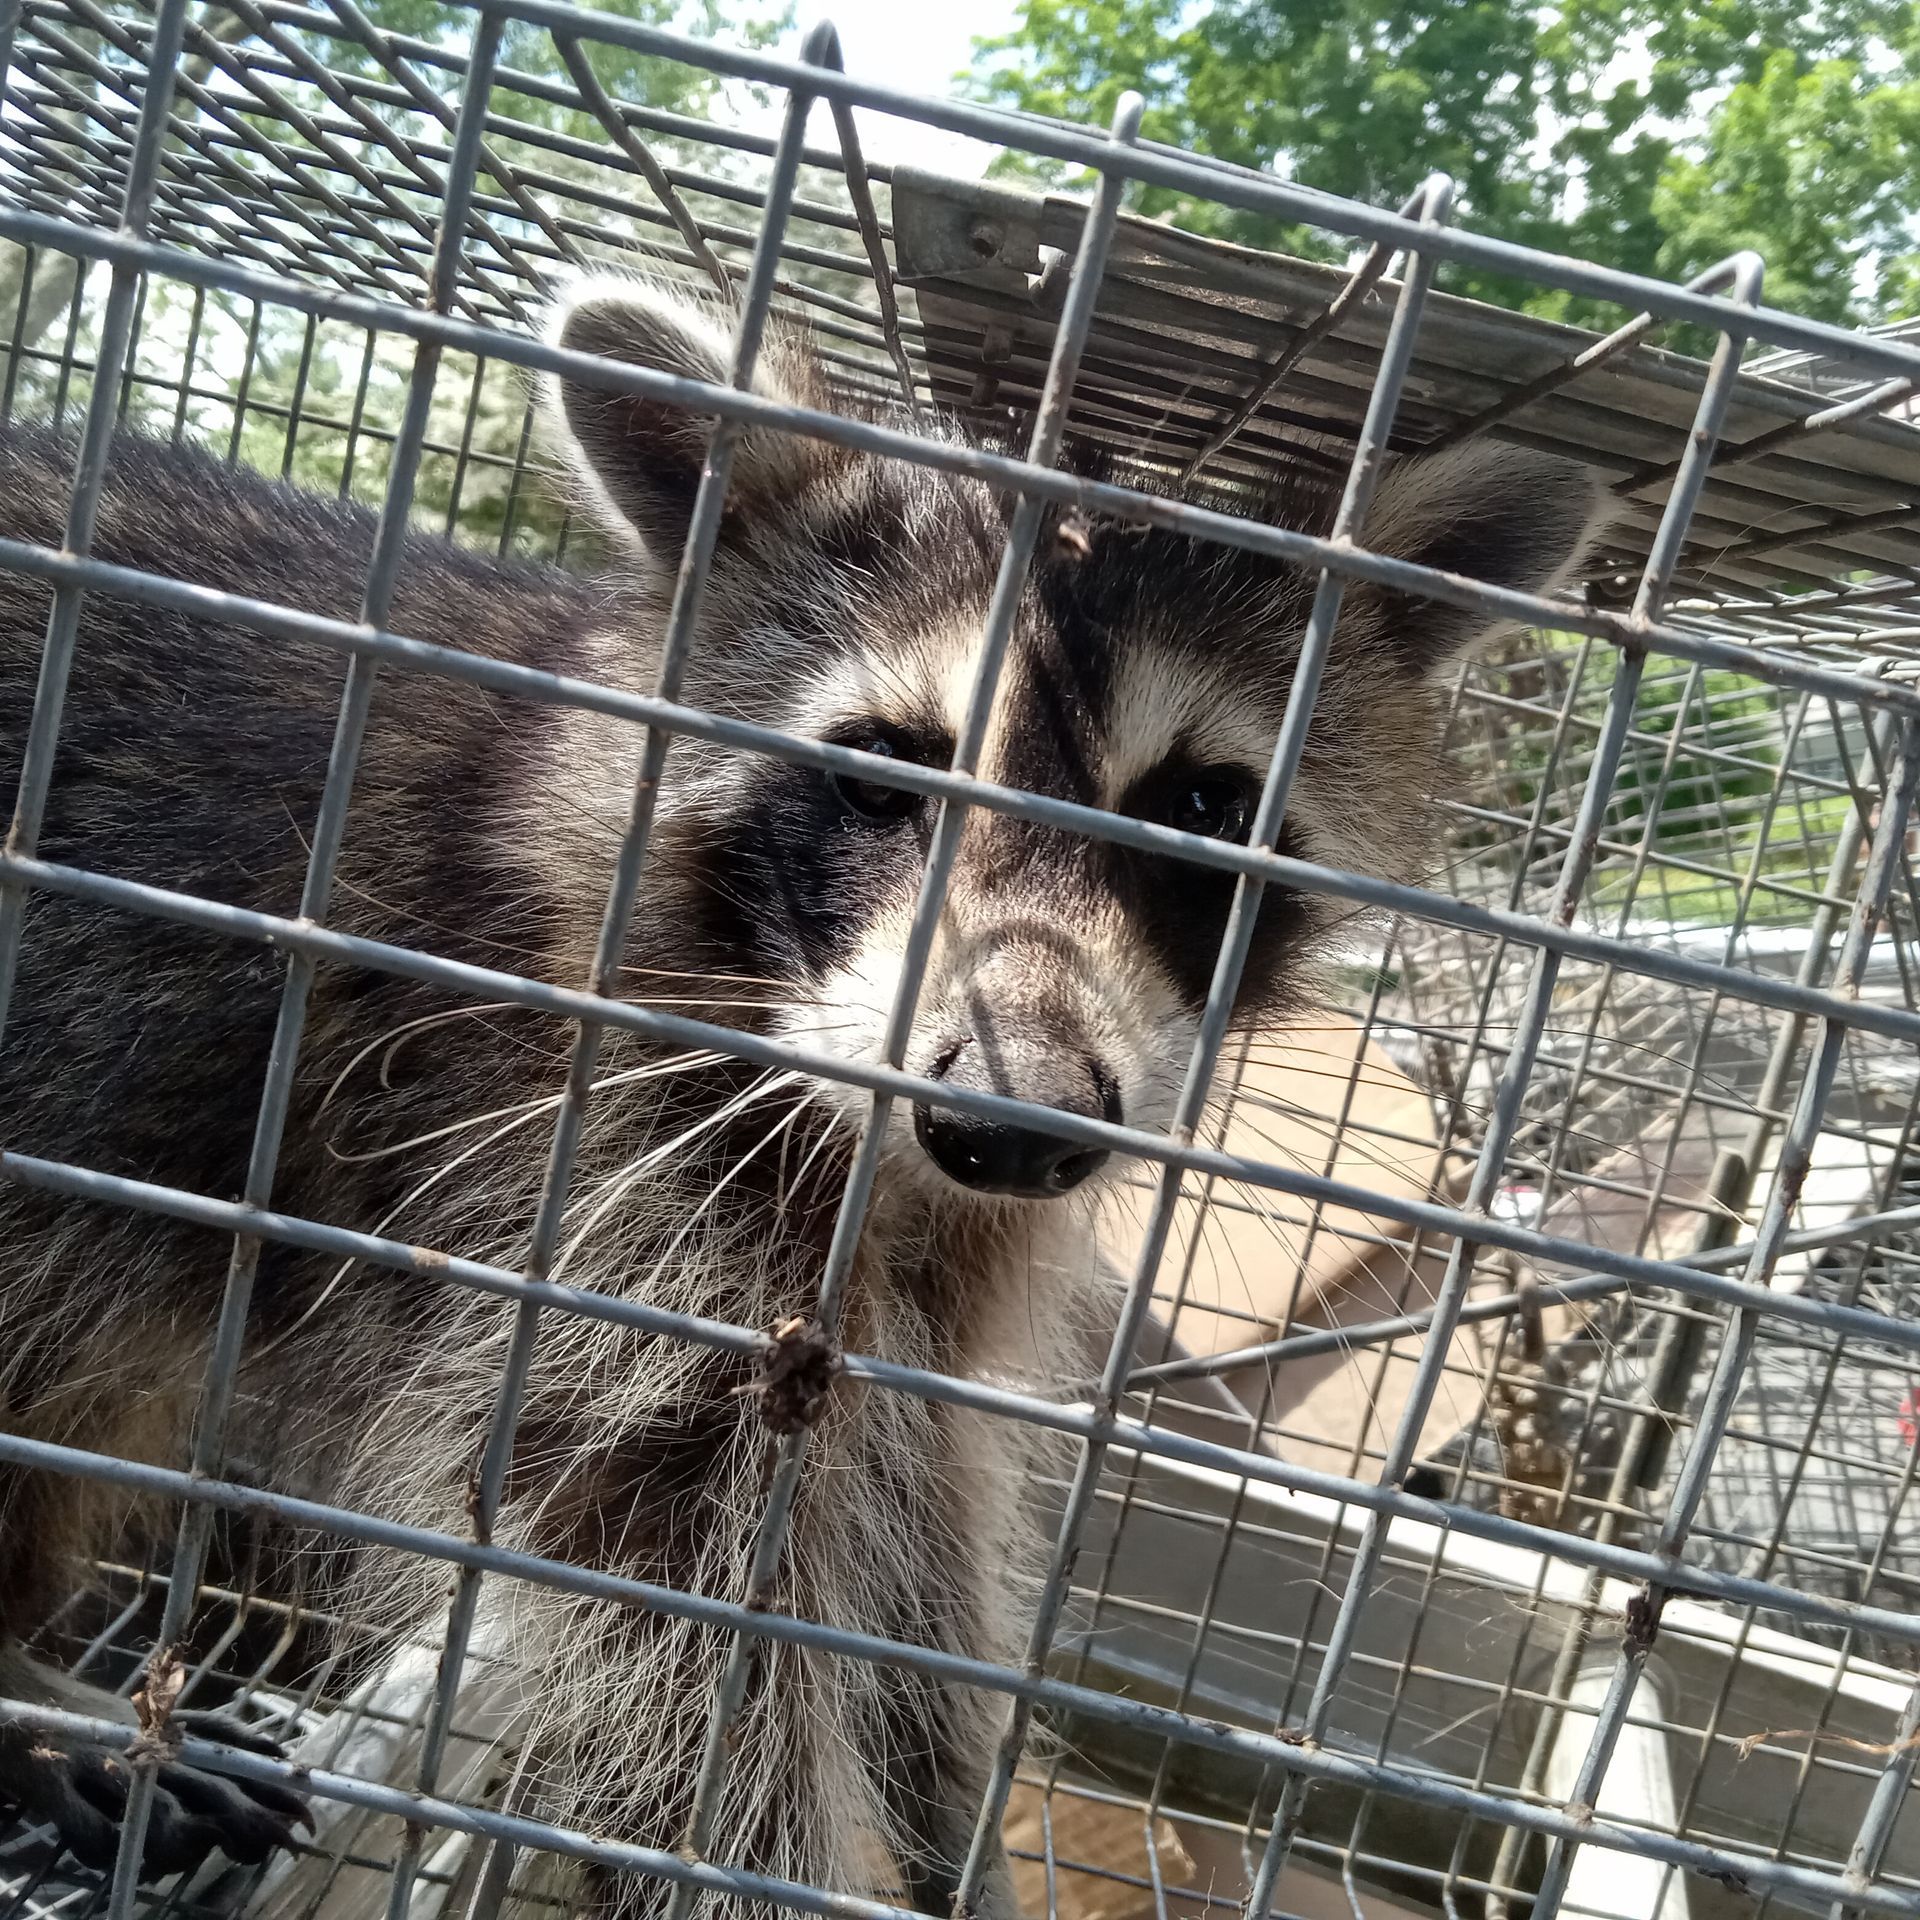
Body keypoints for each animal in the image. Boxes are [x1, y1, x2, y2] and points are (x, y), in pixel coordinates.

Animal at [0, 276, 1605, 1917]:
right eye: (889, 771)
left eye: (1208, 809)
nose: (1015, 1124)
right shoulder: (575, 1146)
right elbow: (670, 1637)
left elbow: (921, 1534)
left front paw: (965, 1827)